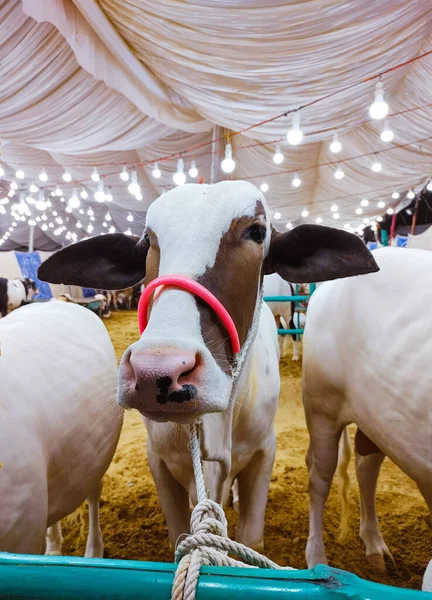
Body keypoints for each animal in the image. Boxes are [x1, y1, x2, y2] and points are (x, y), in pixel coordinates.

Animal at [38, 179, 378, 552]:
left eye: (257, 231)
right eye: (148, 240)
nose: (156, 372)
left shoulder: (264, 453)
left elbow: (251, 538)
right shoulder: (159, 462)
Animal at [302, 247, 432, 572]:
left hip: (377, 419)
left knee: (365, 463)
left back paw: (374, 544)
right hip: (323, 405)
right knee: (320, 475)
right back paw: (317, 558)